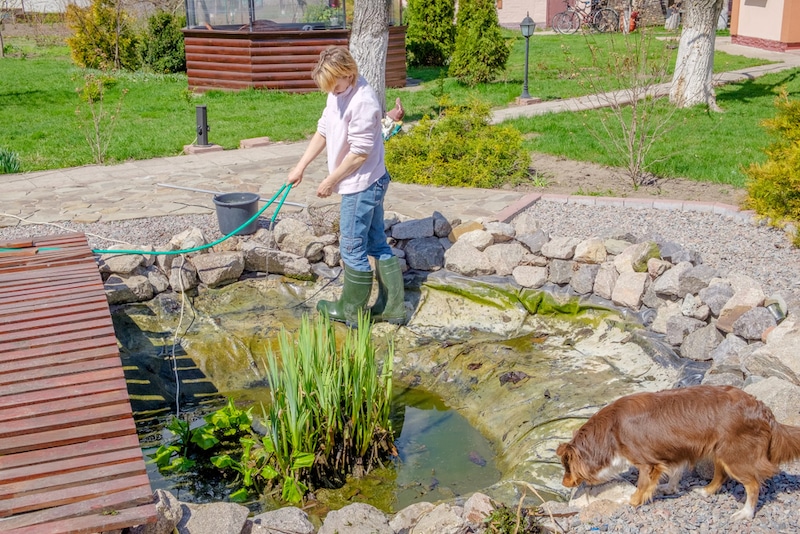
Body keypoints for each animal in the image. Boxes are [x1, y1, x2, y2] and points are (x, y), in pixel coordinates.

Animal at [552, 388, 800, 520]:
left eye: (567, 468)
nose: (563, 483)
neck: (610, 431)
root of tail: (765, 411)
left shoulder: (647, 463)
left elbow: (642, 486)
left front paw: (631, 502)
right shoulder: (675, 450)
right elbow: (674, 473)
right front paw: (669, 489)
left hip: (735, 455)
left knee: (753, 484)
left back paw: (746, 513)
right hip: (720, 450)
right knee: (721, 475)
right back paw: (705, 491)